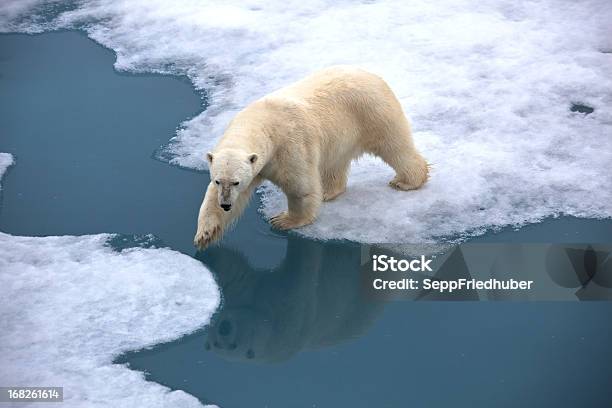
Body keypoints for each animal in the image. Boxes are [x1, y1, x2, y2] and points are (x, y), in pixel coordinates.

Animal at [194, 65, 428, 249]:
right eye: (219, 180)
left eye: (236, 181)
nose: (226, 205)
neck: (263, 123)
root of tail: (372, 75)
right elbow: (212, 197)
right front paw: (204, 234)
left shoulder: (289, 146)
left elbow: (300, 186)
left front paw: (283, 220)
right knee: (335, 164)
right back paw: (327, 191)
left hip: (372, 113)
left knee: (395, 146)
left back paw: (406, 181)